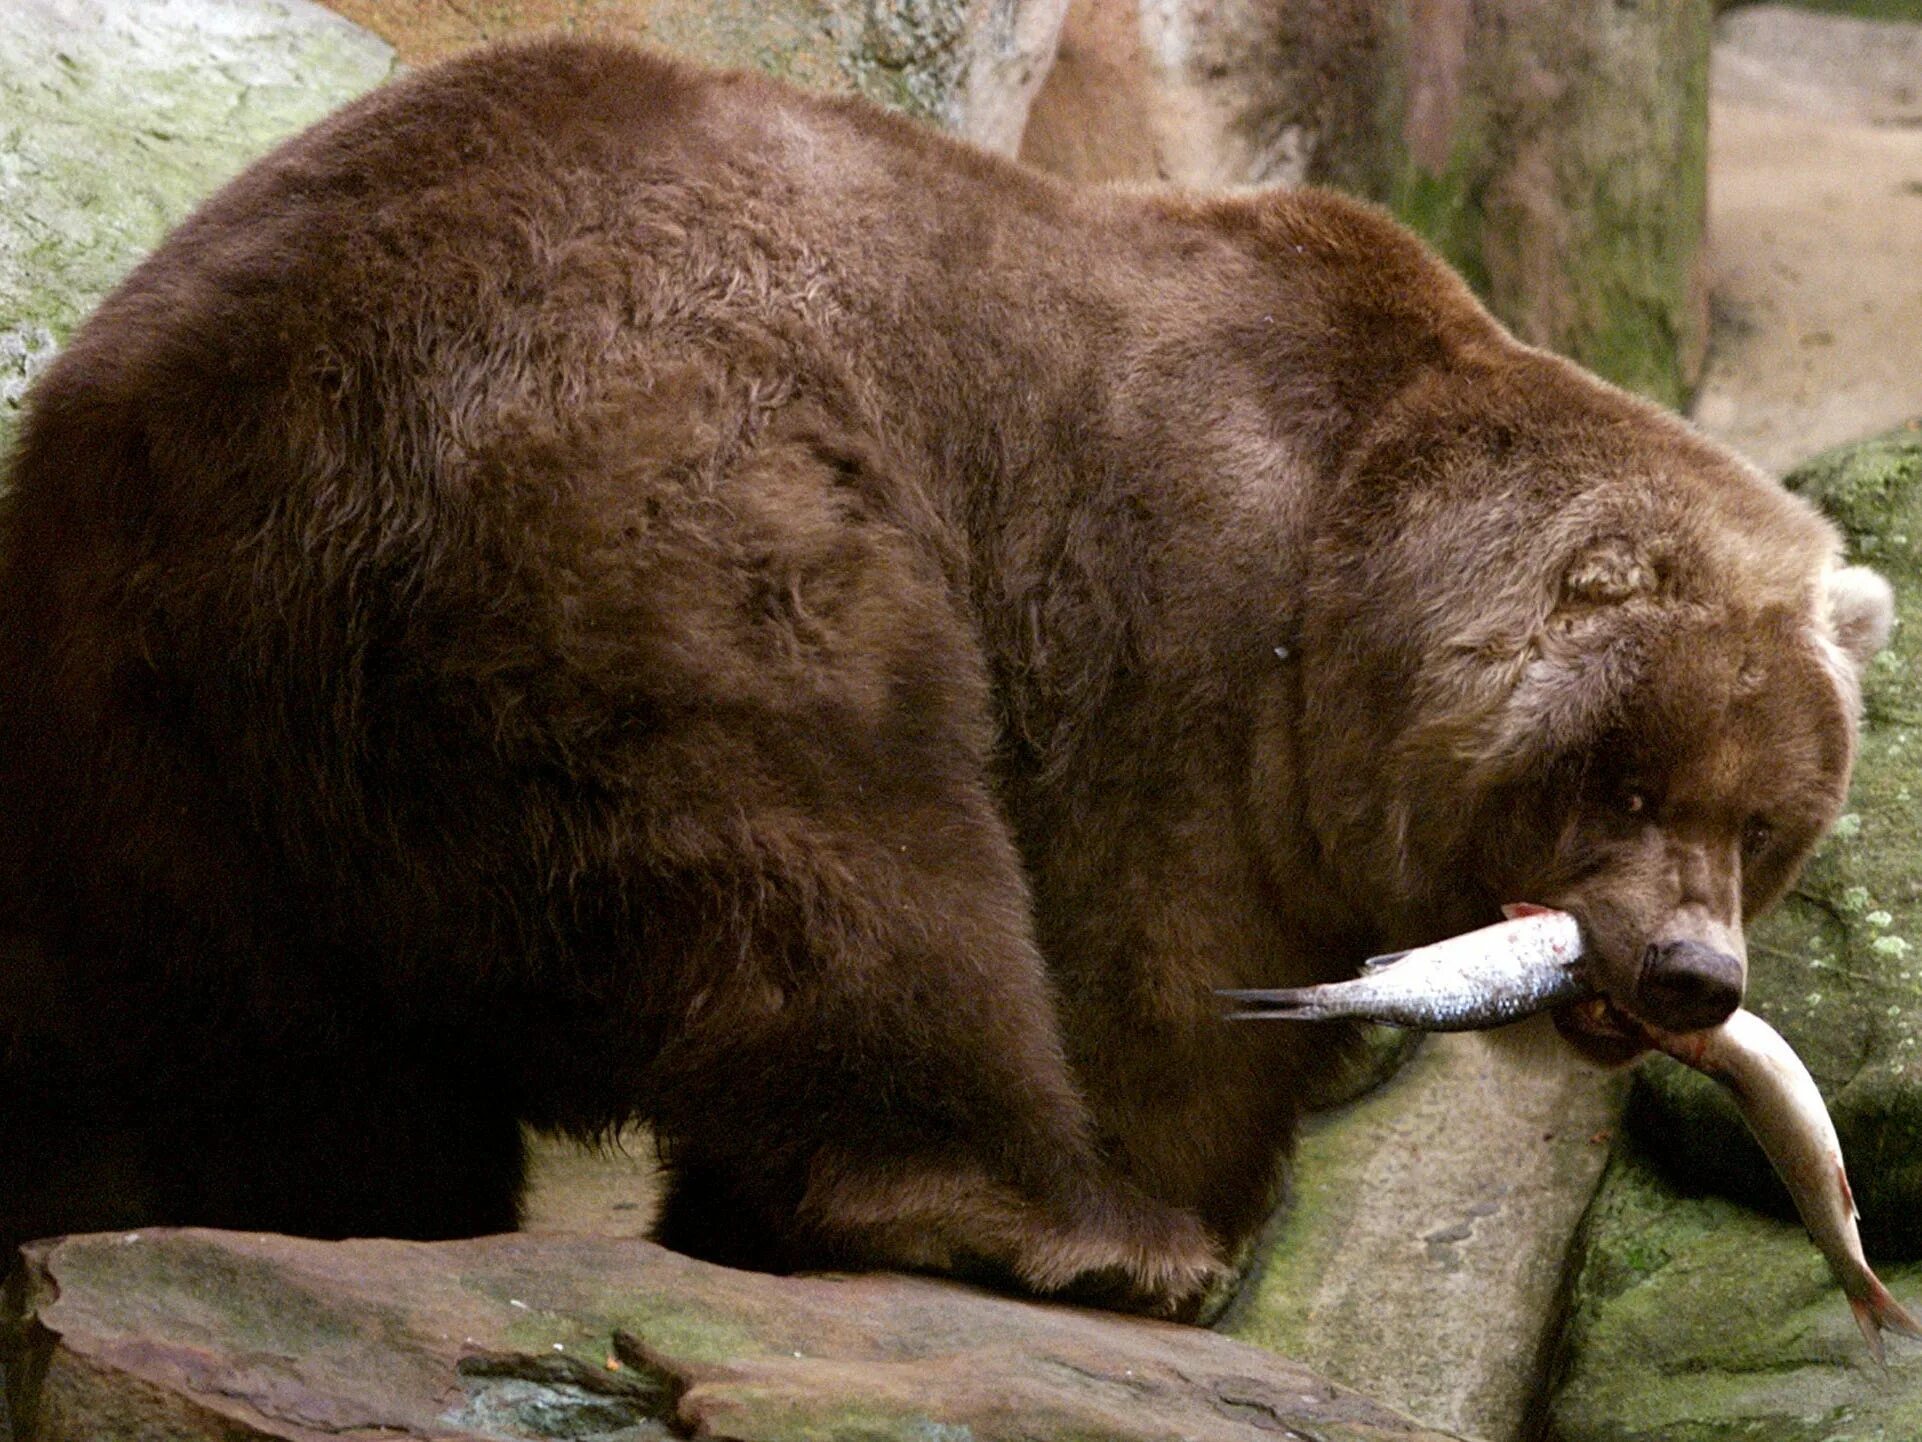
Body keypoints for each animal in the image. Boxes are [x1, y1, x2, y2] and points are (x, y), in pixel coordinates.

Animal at [0, 39, 1891, 1315]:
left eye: (1767, 821)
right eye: (1628, 776)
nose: (1692, 974)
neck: (1351, 574)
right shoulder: (1175, 633)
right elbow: (1152, 960)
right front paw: (1179, 1213)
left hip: (148, 701)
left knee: (226, 1033)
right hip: (659, 485)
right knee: (835, 836)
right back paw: (1034, 1218)